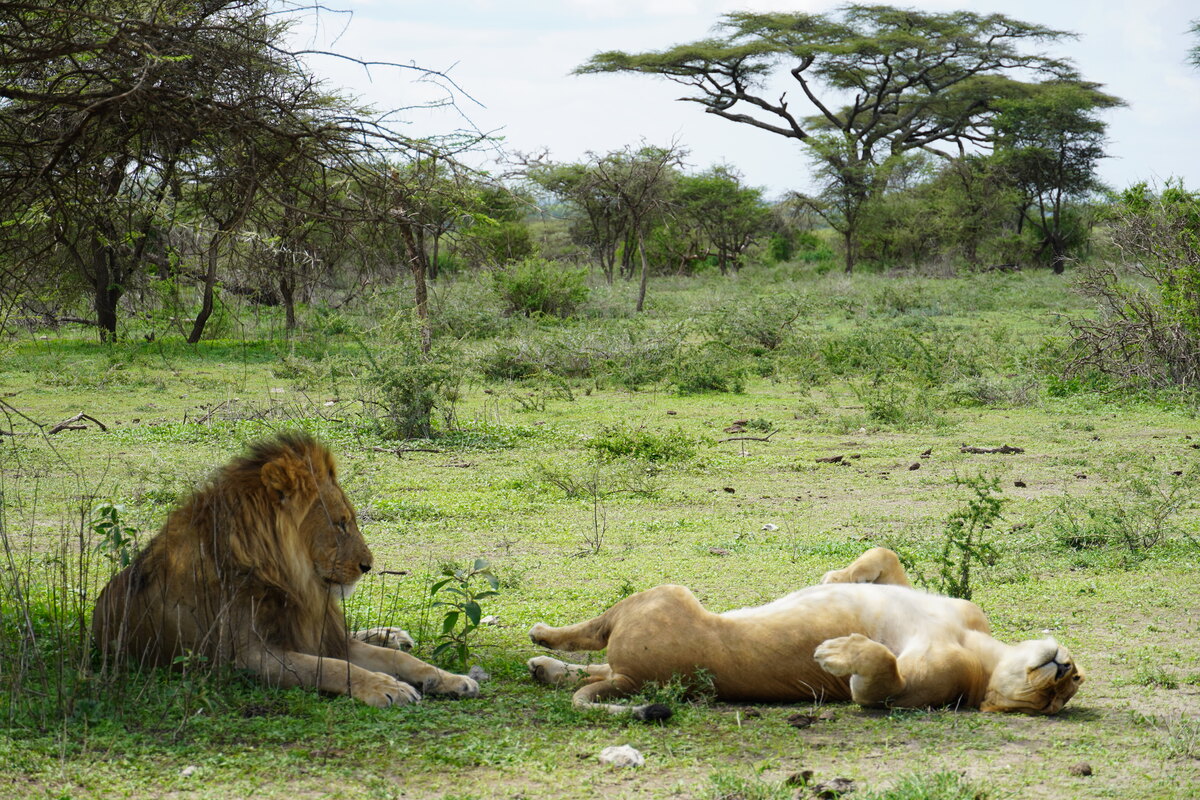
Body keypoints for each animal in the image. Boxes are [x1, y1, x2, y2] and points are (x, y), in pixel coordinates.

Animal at [91, 433, 477, 707]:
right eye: (340, 523)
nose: (368, 566)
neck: (289, 580)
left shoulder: (317, 632)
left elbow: (393, 657)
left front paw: (450, 679)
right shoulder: (247, 657)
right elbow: (332, 666)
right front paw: (386, 687)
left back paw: (391, 633)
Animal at [528, 548, 1082, 718]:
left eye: (1054, 701)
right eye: (1074, 683)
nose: (1064, 670)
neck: (983, 650)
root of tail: (634, 682)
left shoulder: (909, 691)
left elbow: (880, 674)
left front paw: (839, 651)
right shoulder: (941, 601)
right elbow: (885, 557)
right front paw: (837, 578)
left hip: (664, 596)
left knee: (591, 639)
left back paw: (541, 638)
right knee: (593, 670)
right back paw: (541, 666)